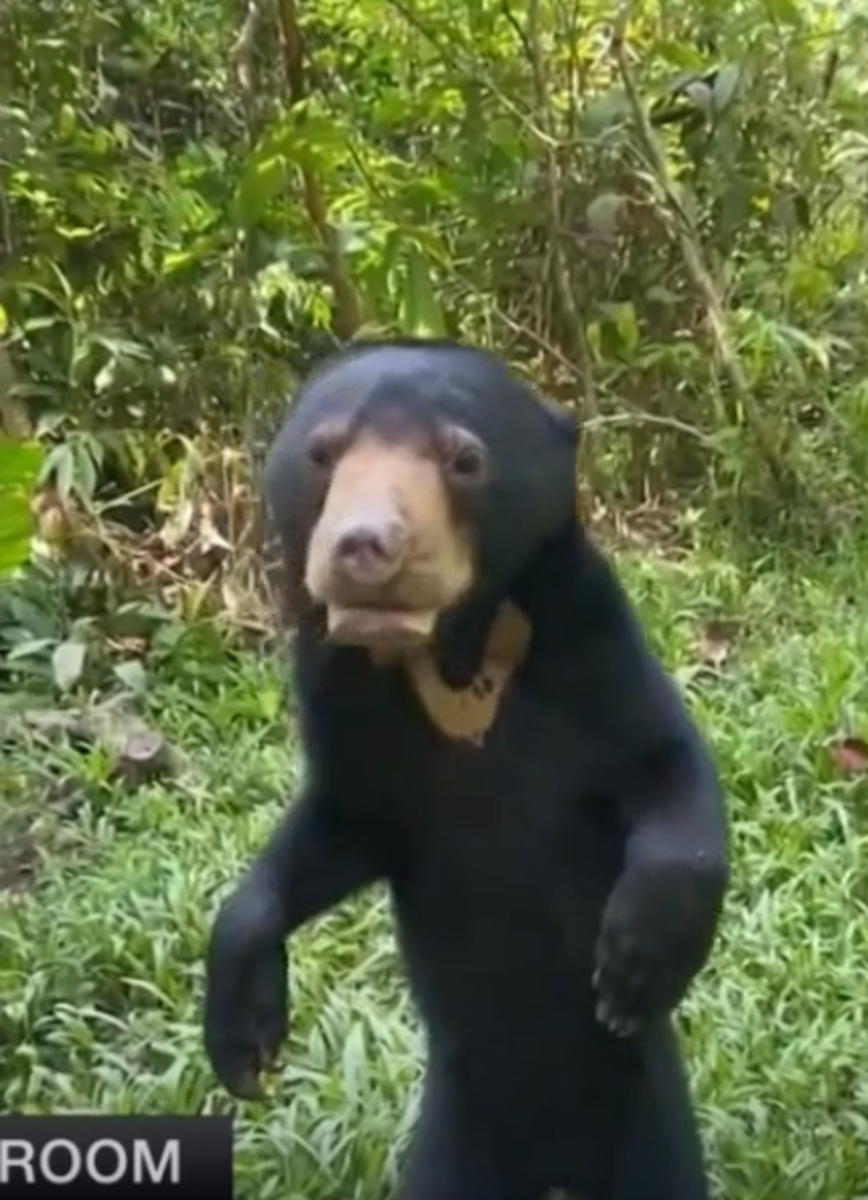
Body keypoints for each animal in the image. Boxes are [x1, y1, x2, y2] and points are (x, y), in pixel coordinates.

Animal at [202, 338, 729, 1200]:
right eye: (323, 453)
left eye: (465, 459)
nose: (363, 548)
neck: (447, 655)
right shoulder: (345, 703)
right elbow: (339, 826)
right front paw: (244, 1038)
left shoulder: (585, 636)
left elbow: (663, 764)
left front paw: (638, 959)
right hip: (456, 1129)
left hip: (645, 1115)